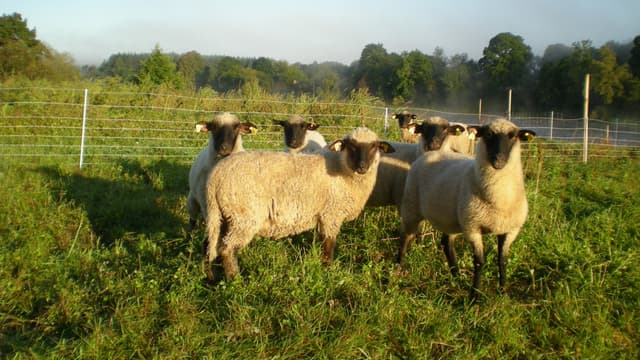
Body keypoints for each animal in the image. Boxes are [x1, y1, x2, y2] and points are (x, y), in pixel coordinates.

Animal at [205, 128, 396, 280]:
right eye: (352, 146)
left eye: (374, 146)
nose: (362, 167)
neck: (343, 169)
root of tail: (215, 176)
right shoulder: (331, 214)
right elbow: (329, 245)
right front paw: (328, 271)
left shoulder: (323, 216)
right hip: (244, 216)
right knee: (227, 248)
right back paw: (235, 279)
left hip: (224, 214)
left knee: (210, 244)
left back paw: (210, 276)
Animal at [400, 118, 536, 298]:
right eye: (488, 134)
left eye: (513, 136)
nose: (498, 160)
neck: (498, 200)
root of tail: (432, 152)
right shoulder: (473, 228)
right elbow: (479, 262)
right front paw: (474, 296)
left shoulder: (511, 230)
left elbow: (503, 260)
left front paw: (502, 291)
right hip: (411, 206)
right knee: (406, 236)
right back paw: (398, 268)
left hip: (449, 219)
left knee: (447, 244)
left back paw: (456, 275)